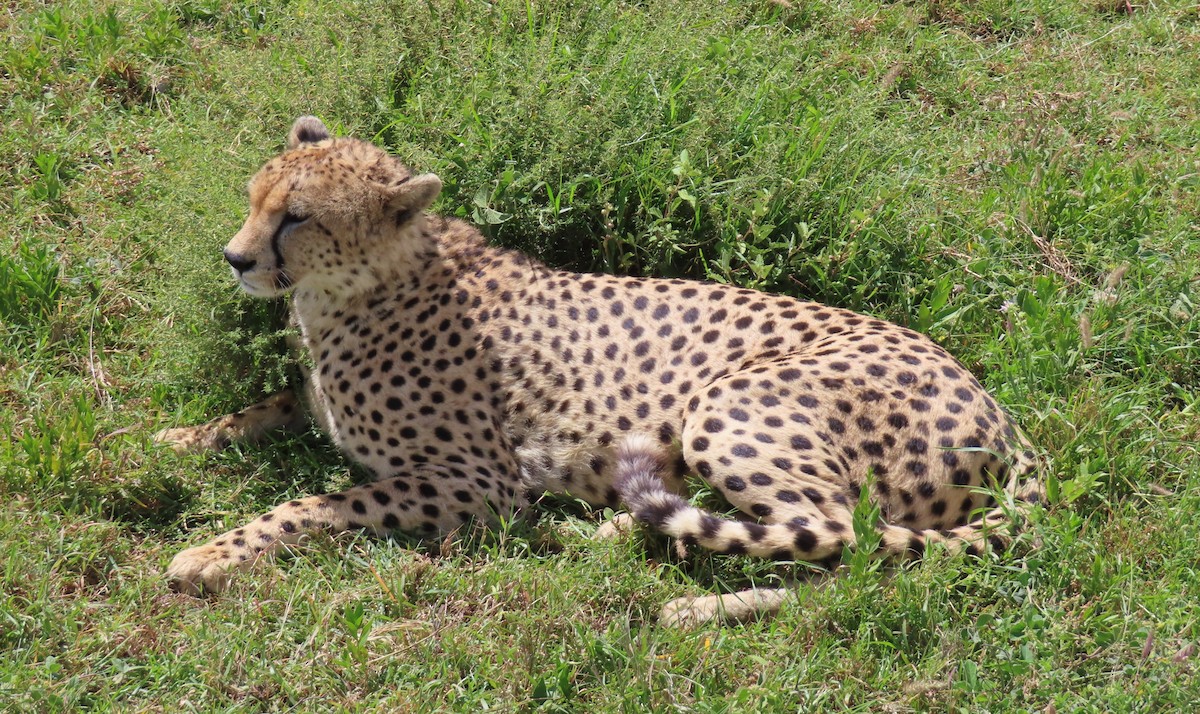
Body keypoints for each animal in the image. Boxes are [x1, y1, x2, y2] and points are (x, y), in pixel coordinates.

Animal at [159, 116, 1042, 626]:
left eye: (298, 218)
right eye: (255, 197)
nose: (235, 259)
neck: (364, 286)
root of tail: (1000, 411)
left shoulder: (481, 483)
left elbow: (315, 502)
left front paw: (213, 554)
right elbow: (270, 403)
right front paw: (180, 438)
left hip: (729, 401)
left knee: (840, 538)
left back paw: (677, 589)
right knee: (847, 561)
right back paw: (625, 540)